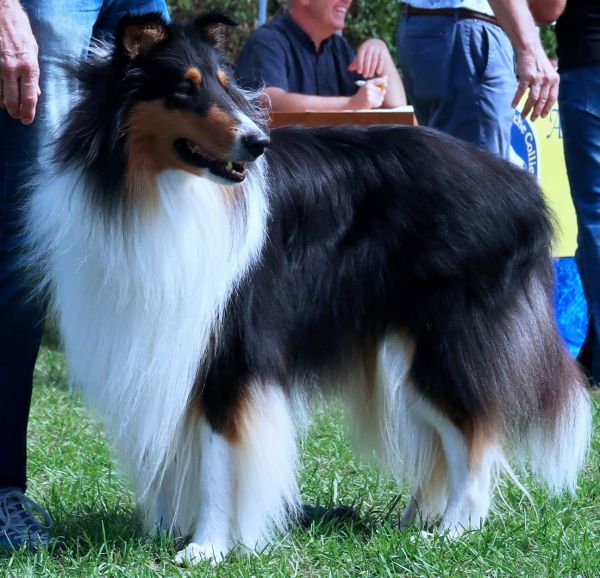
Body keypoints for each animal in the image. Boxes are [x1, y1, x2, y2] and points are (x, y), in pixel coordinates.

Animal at [26, 12, 591, 564]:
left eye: (226, 85)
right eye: (185, 88)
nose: (258, 143)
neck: (159, 190)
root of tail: (521, 187)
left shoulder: (229, 352)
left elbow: (215, 459)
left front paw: (208, 547)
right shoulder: (164, 344)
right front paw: (169, 532)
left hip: (441, 346)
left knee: (473, 434)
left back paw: (453, 531)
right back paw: (418, 520)